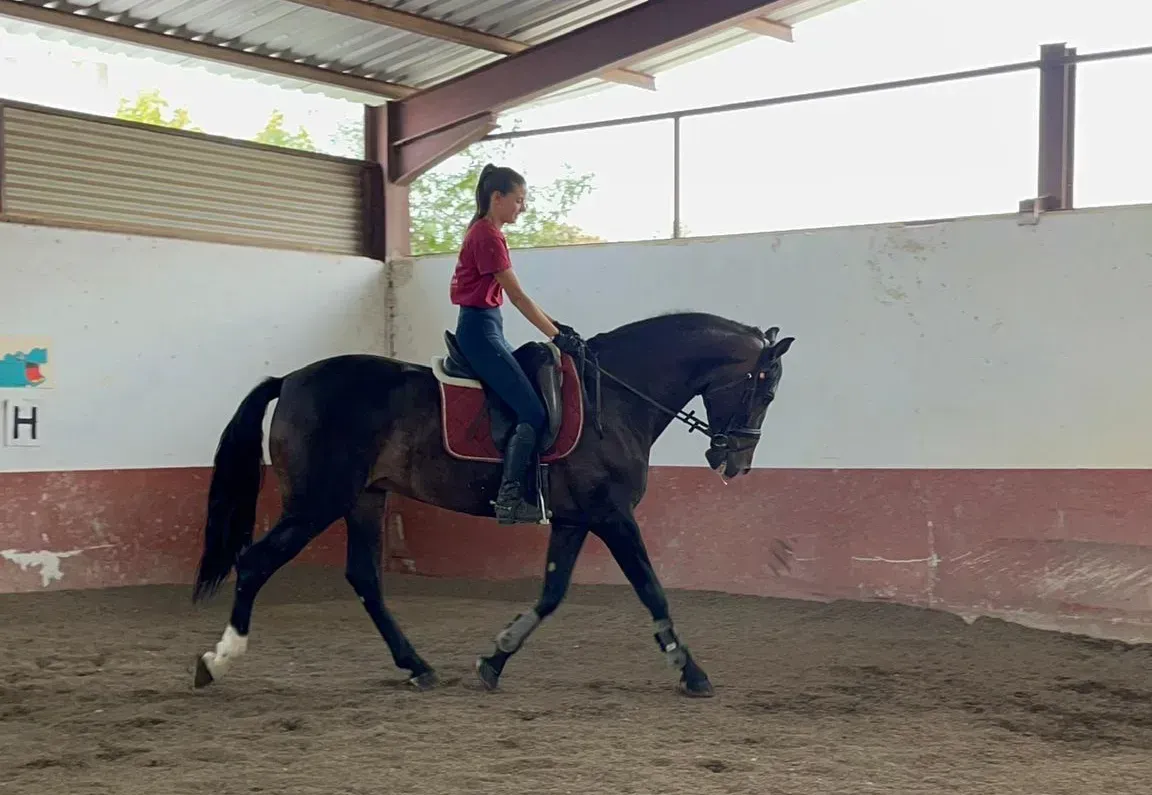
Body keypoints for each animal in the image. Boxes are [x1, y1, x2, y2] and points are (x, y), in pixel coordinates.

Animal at [189, 311, 795, 697]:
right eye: (764, 391)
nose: (735, 462)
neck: (618, 398)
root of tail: (290, 379)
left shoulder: (576, 518)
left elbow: (551, 593)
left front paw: (494, 659)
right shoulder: (612, 516)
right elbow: (652, 590)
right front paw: (691, 672)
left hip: (364, 499)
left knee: (364, 577)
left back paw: (417, 667)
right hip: (318, 502)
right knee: (255, 563)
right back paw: (217, 662)